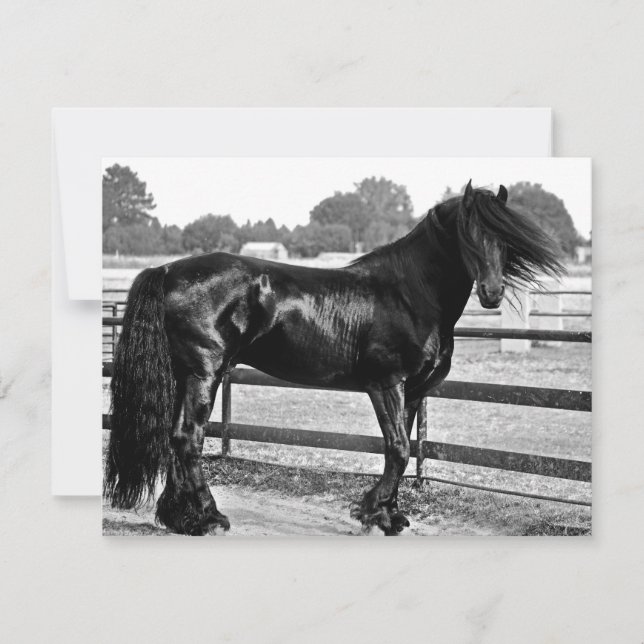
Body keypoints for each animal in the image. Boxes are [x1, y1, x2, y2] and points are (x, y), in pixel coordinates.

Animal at [104, 181, 564, 536]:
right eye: (466, 235)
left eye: (504, 239)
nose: (492, 293)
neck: (410, 293)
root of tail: (167, 271)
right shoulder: (386, 384)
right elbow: (398, 448)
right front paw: (371, 513)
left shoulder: (413, 391)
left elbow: (401, 450)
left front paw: (390, 515)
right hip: (205, 372)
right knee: (189, 439)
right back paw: (209, 518)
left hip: (184, 374)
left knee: (174, 437)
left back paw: (179, 518)